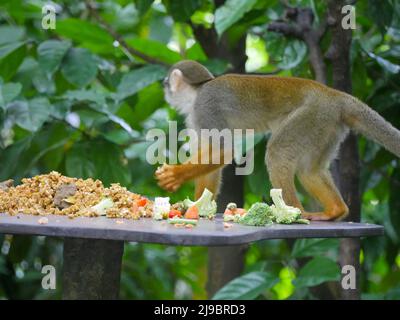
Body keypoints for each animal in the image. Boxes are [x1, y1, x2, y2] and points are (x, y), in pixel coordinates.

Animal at [155, 59, 400, 220]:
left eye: (166, 82)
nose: (164, 88)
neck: (197, 92)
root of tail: (334, 95)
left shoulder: (206, 106)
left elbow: (223, 150)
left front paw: (176, 175)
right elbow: (212, 157)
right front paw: (195, 207)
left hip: (312, 115)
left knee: (278, 152)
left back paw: (295, 214)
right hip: (327, 125)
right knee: (309, 170)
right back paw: (335, 211)